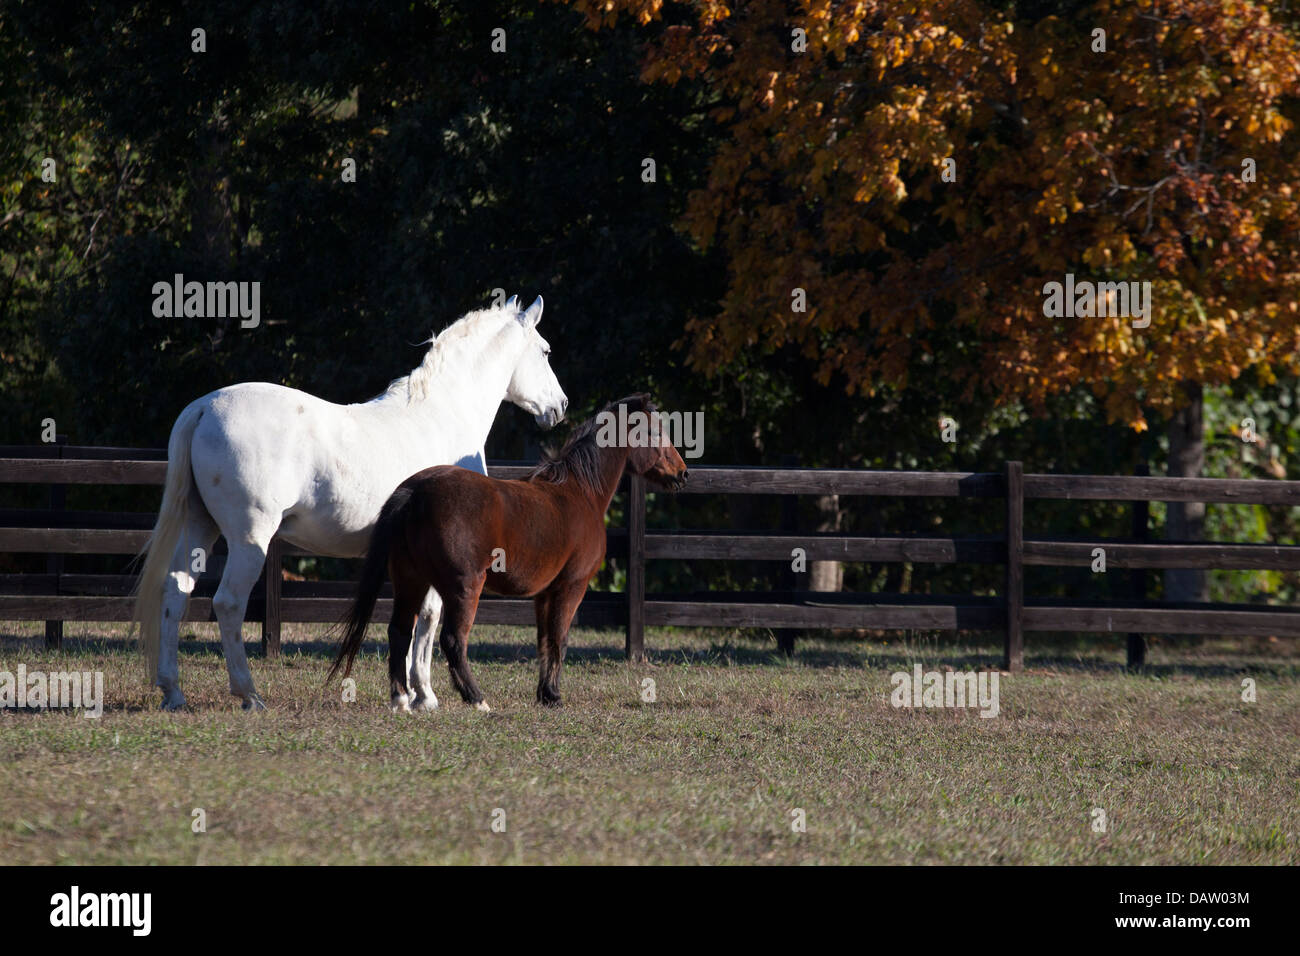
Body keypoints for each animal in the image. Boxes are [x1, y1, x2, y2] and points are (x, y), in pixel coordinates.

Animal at [134, 297, 566, 712]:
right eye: (545, 351)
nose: (560, 407)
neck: (441, 416)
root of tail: (205, 407)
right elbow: (429, 618)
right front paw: (425, 695)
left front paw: (411, 693)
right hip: (249, 539)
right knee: (228, 604)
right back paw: (249, 694)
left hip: (200, 526)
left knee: (176, 592)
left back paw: (173, 691)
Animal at [330, 395, 686, 712]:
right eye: (656, 432)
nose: (682, 474)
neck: (579, 493)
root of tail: (415, 491)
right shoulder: (572, 586)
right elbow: (560, 639)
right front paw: (555, 696)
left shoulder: (545, 593)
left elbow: (544, 640)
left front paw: (545, 695)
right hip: (463, 587)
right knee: (453, 640)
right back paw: (477, 699)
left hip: (410, 581)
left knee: (400, 631)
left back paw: (401, 700)